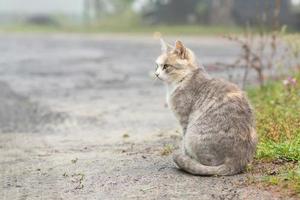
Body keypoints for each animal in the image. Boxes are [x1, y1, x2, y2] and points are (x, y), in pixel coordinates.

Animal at [155, 39, 258, 175]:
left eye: (166, 66)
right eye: (157, 66)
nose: (156, 74)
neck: (185, 78)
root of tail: (237, 161)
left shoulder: (184, 121)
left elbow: (183, 145)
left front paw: (186, 157)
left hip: (192, 134)